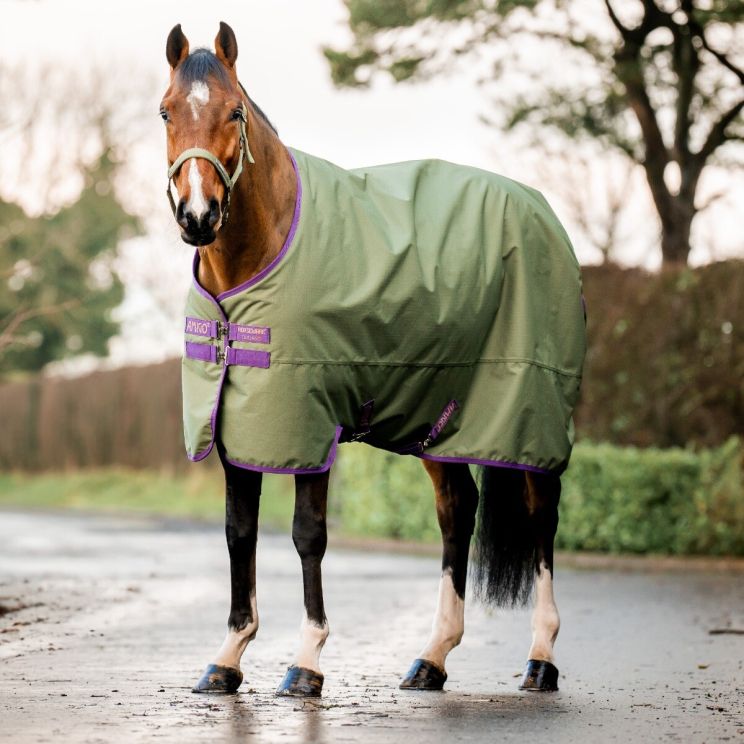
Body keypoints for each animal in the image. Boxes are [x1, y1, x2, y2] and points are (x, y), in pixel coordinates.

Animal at [160, 22, 585, 697]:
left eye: (233, 111)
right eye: (166, 112)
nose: (198, 215)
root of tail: (543, 212)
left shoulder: (309, 422)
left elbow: (307, 535)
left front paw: (306, 662)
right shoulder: (236, 424)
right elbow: (238, 532)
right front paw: (226, 659)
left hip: (531, 411)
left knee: (540, 514)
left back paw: (541, 659)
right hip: (443, 418)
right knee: (456, 511)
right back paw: (431, 659)